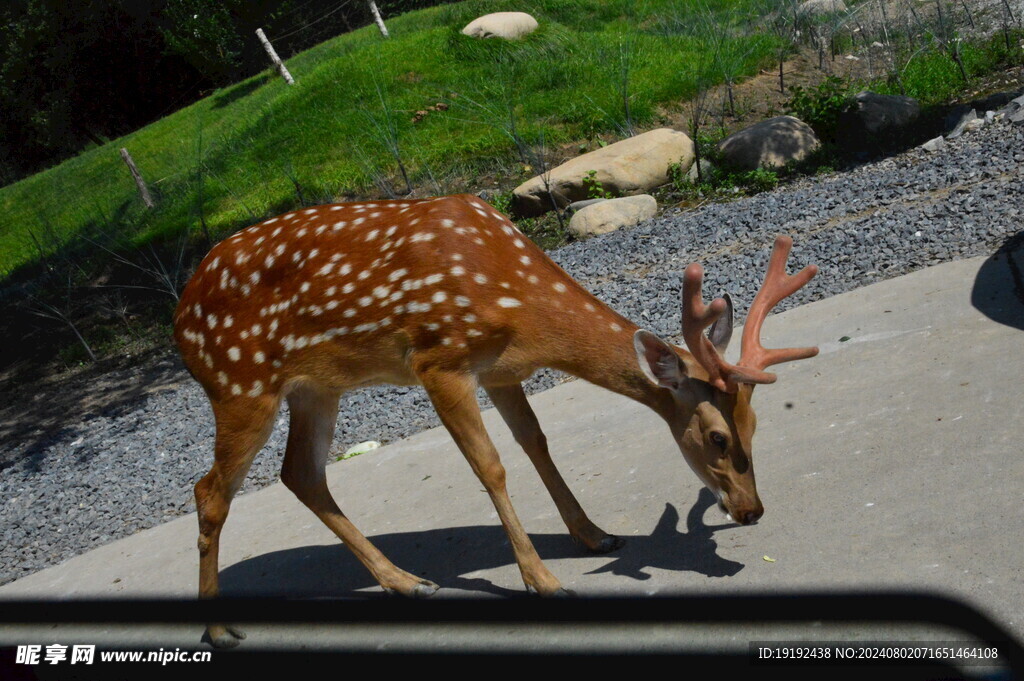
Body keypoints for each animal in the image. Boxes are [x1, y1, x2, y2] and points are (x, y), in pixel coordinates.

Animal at [172, 192, 819, 647]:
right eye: (716, 436)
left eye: (755, 426)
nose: (751, 510)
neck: (518, 302)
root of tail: (179, 319)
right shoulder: (439, 359)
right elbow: (491, 465)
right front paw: (544, 581)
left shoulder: (503, 370)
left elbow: (537, 442)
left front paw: (594, 535)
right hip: (241, 383)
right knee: (209, 490)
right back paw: (220, 630)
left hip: (315, 386)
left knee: (300, 474)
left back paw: (408, 582)